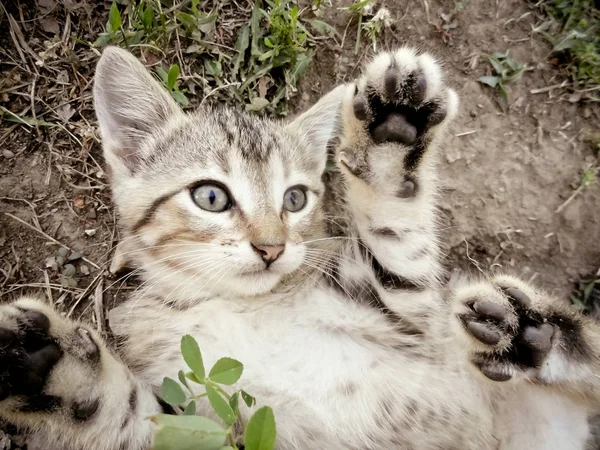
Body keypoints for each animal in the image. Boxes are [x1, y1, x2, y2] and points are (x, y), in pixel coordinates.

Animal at [1, 45, 600, 450]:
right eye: (211, 197)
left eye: (294, 198)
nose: (271, 248)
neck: (241, 304)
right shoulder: (203, 421)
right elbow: (129, 416)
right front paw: (57, 373)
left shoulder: (410, 319)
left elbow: (400, 250)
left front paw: (391, 136)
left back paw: (534, 331)